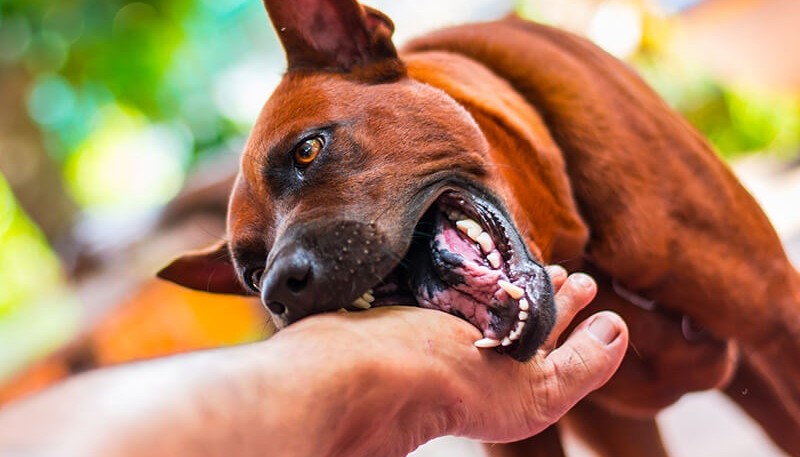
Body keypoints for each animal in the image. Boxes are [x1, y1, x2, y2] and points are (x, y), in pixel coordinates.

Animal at [159, 1, 800, 454]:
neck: (576, 245)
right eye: (249, 273)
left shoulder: (778, 325)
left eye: (308, 150)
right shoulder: (523, 432)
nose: (279, 292)